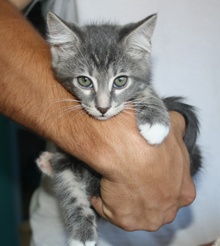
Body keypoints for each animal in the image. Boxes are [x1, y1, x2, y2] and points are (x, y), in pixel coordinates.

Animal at [36, 12, 201, 246]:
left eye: (120, 81)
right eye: (84, 81)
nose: (103, 108)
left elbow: (146, 89)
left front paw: (155, 121)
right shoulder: (65, 163)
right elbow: (71, 192)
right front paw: (81, 232)